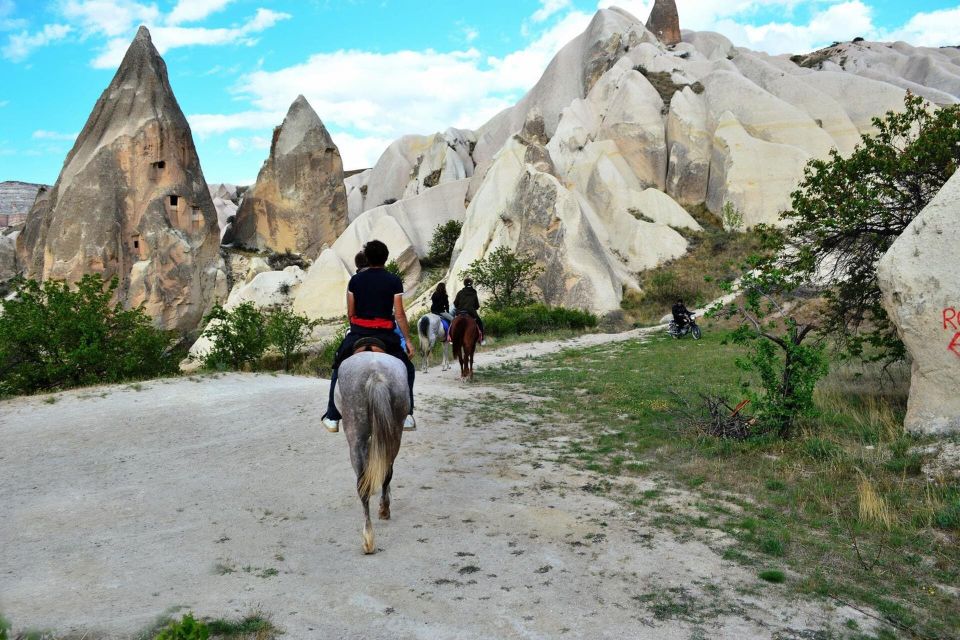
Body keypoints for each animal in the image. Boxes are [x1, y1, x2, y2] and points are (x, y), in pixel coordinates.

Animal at [334, 350, 408, 556]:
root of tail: (376, 374)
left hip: (355, 436)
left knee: (363, 486)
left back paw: (369, 535)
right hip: (394, 432)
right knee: (387, 472)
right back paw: (380, 516)